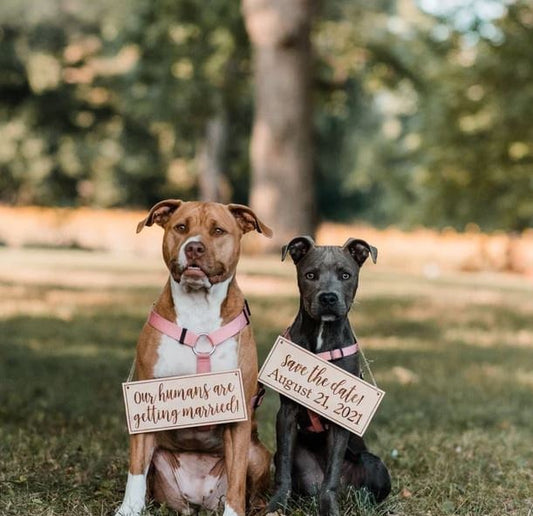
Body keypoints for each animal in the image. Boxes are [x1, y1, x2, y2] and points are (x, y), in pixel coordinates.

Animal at [117, 201, 274, 516]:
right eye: (181, 227)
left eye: (218, 230)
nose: (194, 247)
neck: (199, 308)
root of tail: (201, 498)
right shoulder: (144, 401)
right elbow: (136, 471)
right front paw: (128, 510)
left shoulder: (237, 415)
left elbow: (237, 483)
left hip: (259, 454)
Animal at [266, 237, 390, 516]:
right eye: (310, 275)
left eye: (346, 275)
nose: (328, 297)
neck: (322, 337)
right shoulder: (286, 413)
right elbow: (284, 470)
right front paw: (277, 504)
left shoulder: (340, 419)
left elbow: (332, 475)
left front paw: (328, 508)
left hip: (375, 464)